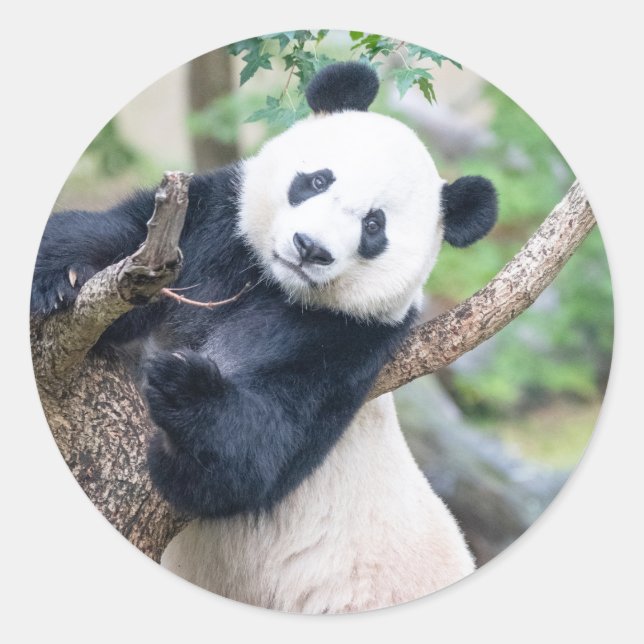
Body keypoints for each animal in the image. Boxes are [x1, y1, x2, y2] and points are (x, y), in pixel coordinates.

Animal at [31, 61, 497, 613]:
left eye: (373, 225)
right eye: (317, 180)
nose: (310, 247)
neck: (273, 284)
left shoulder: (349, 343)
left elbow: (254, 458)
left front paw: (184, 387)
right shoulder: (212, 230)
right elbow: (120, 239)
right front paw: (60, 276)